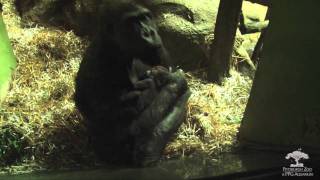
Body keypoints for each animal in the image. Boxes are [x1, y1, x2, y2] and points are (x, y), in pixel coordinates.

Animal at [74, 1, 190, 167]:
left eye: (146, 17)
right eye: (132, 22)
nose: (149, 32)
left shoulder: (158, 47)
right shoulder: (98, 63)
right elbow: (130, 127)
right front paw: (176, 81)